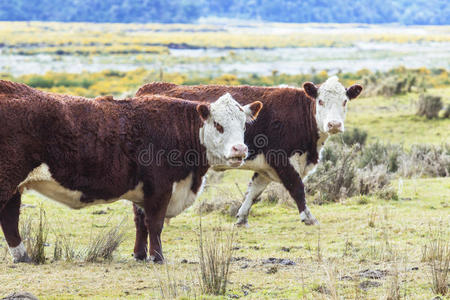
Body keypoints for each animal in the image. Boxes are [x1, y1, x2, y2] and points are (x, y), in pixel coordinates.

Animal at [0, 79, 264, 262]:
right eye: (218, 125)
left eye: (244, 125)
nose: (240, 149)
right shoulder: (160, 187)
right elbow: (155, 223)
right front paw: (157, 257)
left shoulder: (143, 190)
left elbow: (141, 222)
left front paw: (139, 254)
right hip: (7, 182)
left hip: (15, 187)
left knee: (10, 219)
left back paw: (23, 256)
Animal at [132, 76, 364, 258]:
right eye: (321, 101)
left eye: (344, 101)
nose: (334, 124)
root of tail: (147, 89)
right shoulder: (282, 160)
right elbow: (297, 189)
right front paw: (308, 217)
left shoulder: (265, 169)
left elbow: (253, 191)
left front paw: (241, 218)